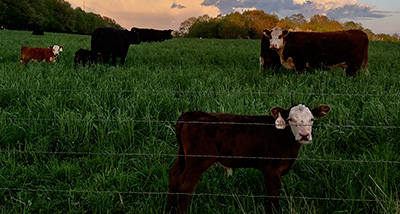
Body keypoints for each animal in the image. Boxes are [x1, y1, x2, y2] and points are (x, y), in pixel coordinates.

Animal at [166, 103, 332, 212]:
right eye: (290, 119)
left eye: (312, 119)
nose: (304, 135)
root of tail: (192, 114)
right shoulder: (272, 170)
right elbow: (273, 195)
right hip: (198, 160)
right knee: (185, 186)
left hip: (183, 156)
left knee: (174, 176)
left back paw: (169, 209)